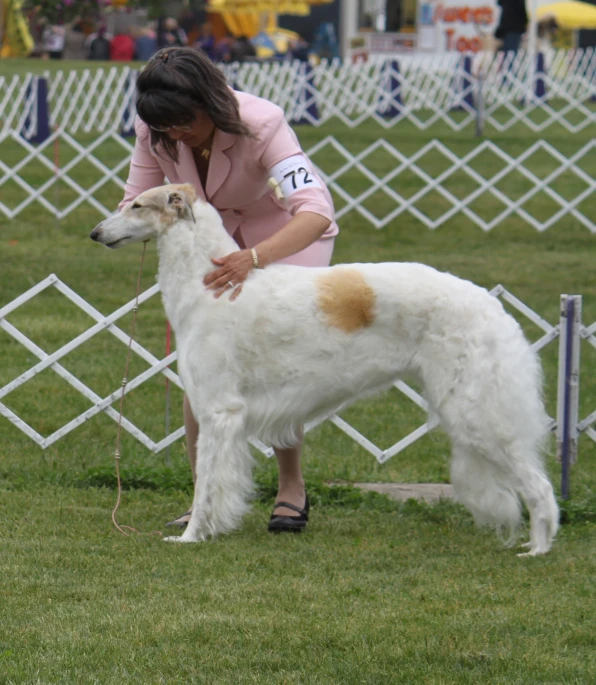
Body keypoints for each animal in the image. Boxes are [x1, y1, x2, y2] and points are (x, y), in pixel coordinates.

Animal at [89, 183, 560, 556]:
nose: (95, 233)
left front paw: (191, 536)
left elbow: (207, 486)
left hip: (476, 414)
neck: (209, 283)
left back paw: (537, 548)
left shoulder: (219, 411)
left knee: (541, 487)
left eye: (137, 206)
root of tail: (493, 306)